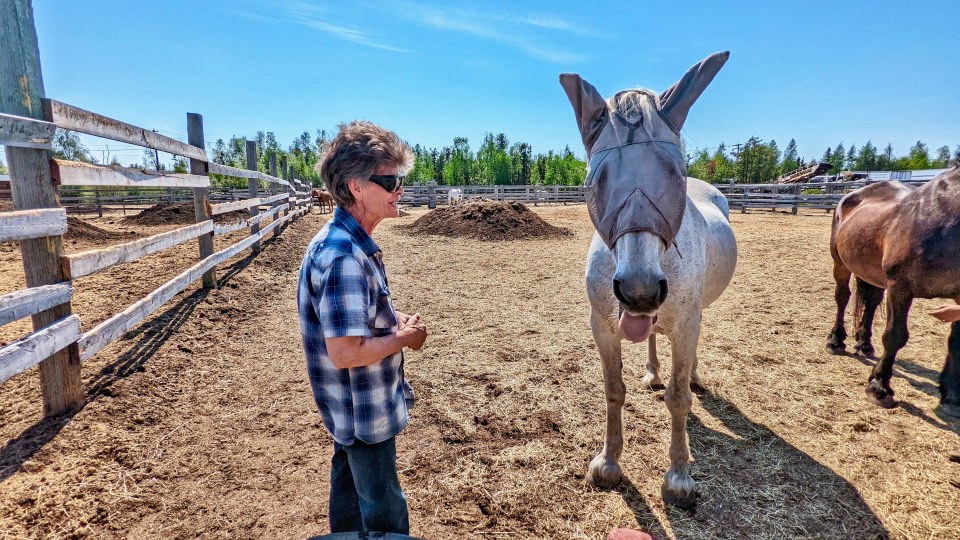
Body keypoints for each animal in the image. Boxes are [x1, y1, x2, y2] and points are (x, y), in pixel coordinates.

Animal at [559, 51, 736, 508]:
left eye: (674, 174)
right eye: (595, 179)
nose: (639, 292)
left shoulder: (687, 323)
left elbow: (678, 399)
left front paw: (679, 477)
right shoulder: (603, 326)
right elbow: (613, 389)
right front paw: (608, 464)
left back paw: (691, 376)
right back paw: (654, 371)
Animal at [826, 166, 960, 417]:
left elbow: (956, 342)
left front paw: (952, 396)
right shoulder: (900, 286)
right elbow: (895, 335)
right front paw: (879, 386)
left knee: (870, 302)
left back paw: (864, 344)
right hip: (840, 262)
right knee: (842, 297)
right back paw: (836, 341)